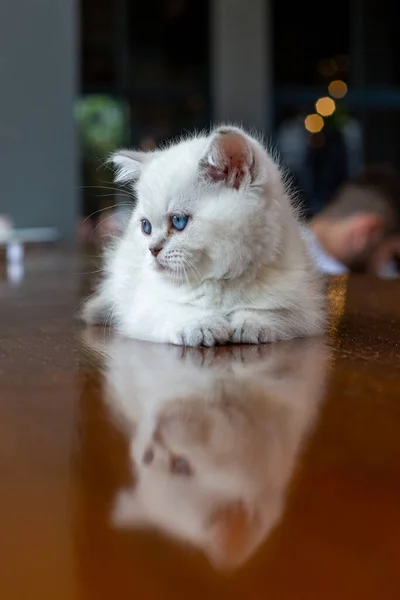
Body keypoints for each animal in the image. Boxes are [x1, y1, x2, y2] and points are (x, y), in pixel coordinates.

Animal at [83, 124, 324, 344]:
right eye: (146, 227)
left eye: (178, 221)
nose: (152, 249)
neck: (220, 281)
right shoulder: (142, 307)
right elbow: (173, 310)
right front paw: (201, 325)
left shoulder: (304, 307)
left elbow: (276, 312)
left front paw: (251, 324)